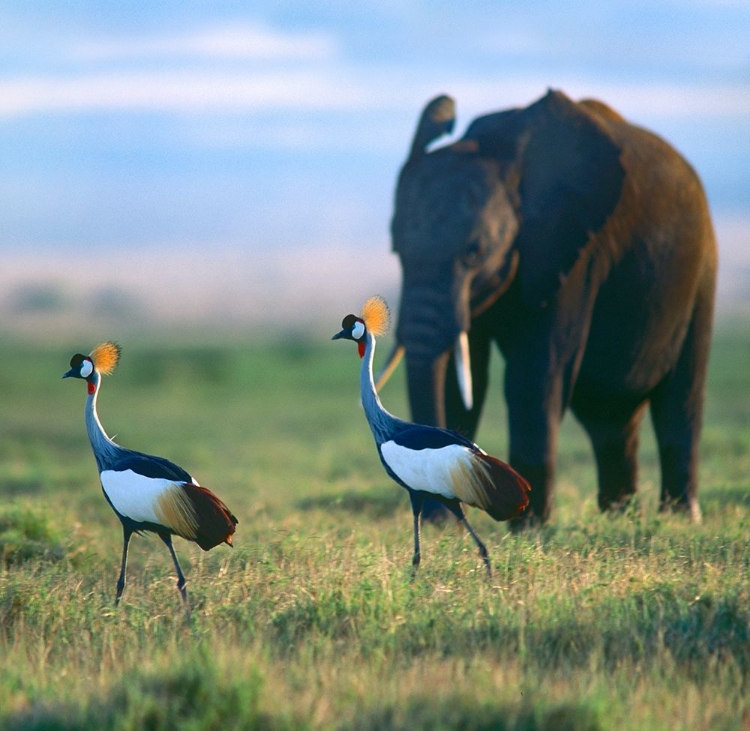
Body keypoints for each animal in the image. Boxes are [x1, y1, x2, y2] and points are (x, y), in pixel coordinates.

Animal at [384, 88, 720, 528]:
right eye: (396, 251)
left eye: (474, 252)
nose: (437, 516)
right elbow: (467, 376)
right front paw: (450, 526)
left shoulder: (573, 250)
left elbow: (535, 373)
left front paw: (528, 526)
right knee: (610, 418)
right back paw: (620, 515)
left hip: (700, 273)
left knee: (680, 398)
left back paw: (680, 517)